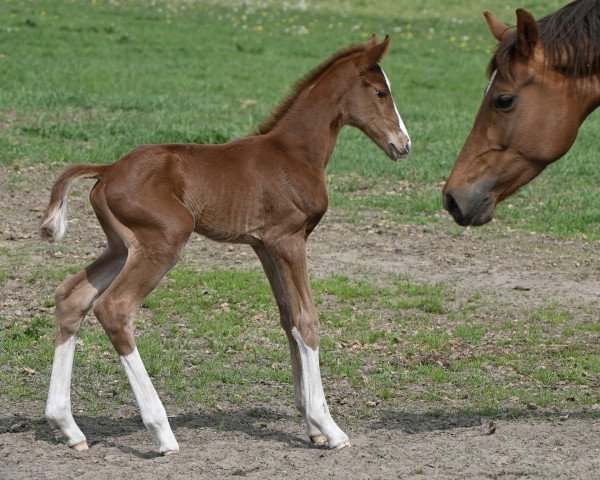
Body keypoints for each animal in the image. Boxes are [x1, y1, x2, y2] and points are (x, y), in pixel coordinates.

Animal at [38, 36, 412, 454]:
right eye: (380, 93)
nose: (403, 145)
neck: (294, 153)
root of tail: (107, 171)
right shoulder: (289, 240)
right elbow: (307, 320)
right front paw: (329, 428)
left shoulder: (265, 246)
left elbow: (287, 318)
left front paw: (311, 424)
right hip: (164, 240)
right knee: (114, 308)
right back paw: (161, 432)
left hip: (121, 247)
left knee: (72, 297)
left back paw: (69, 428)